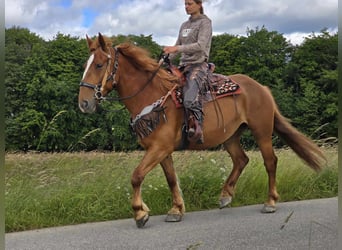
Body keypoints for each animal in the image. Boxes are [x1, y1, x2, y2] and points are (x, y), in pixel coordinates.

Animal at [79, 33, 324, 229]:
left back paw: (270, 201)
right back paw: (225, 196)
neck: (151, 95)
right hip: (230, 136)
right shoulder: (160, 150)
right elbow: (171, 179)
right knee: (241, 160)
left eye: (99, 64)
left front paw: (140, 213)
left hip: (261, 131)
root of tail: (261, 88)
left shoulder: (160, 148)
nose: (84, 103)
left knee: (270, 161)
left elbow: (136, 176)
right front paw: (176, 209)